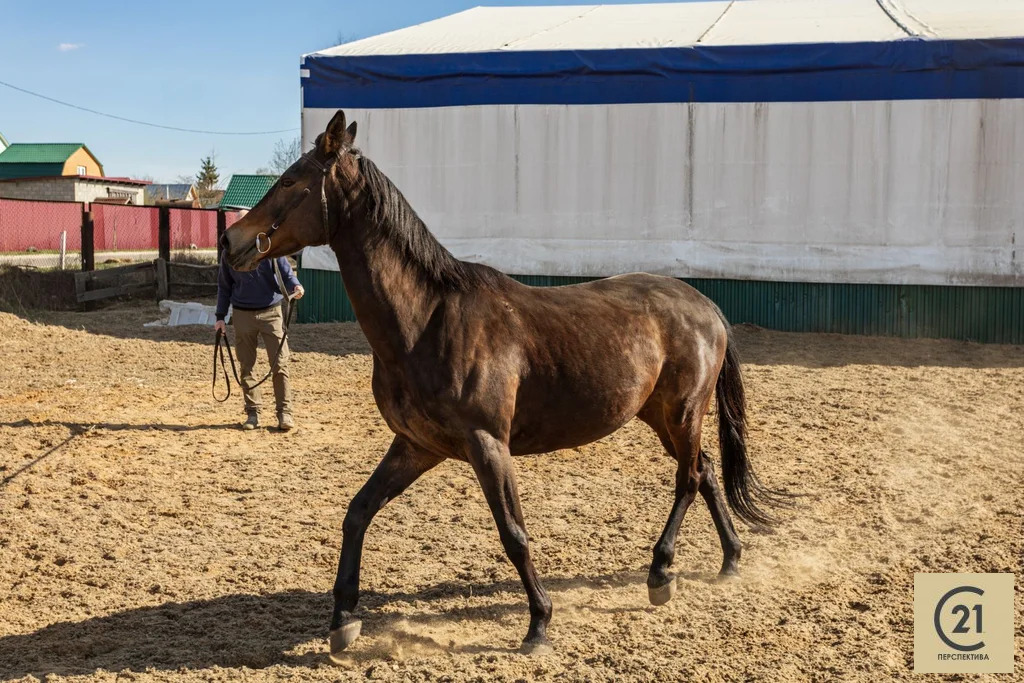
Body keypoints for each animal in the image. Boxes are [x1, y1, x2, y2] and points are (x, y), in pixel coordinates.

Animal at [222, 111, 782, 655]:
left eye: (290, 180)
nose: (231, 241)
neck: (427, 319)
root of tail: (704, 305)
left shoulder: (488, 444)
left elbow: (513, 534)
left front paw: (539, 623)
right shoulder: (416, 445)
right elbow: (357, 513)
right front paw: (343, 619)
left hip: (682, 413)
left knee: (688, 478)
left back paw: (661, 571)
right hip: (661, 417)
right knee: (705, 472)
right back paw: (729, 559)